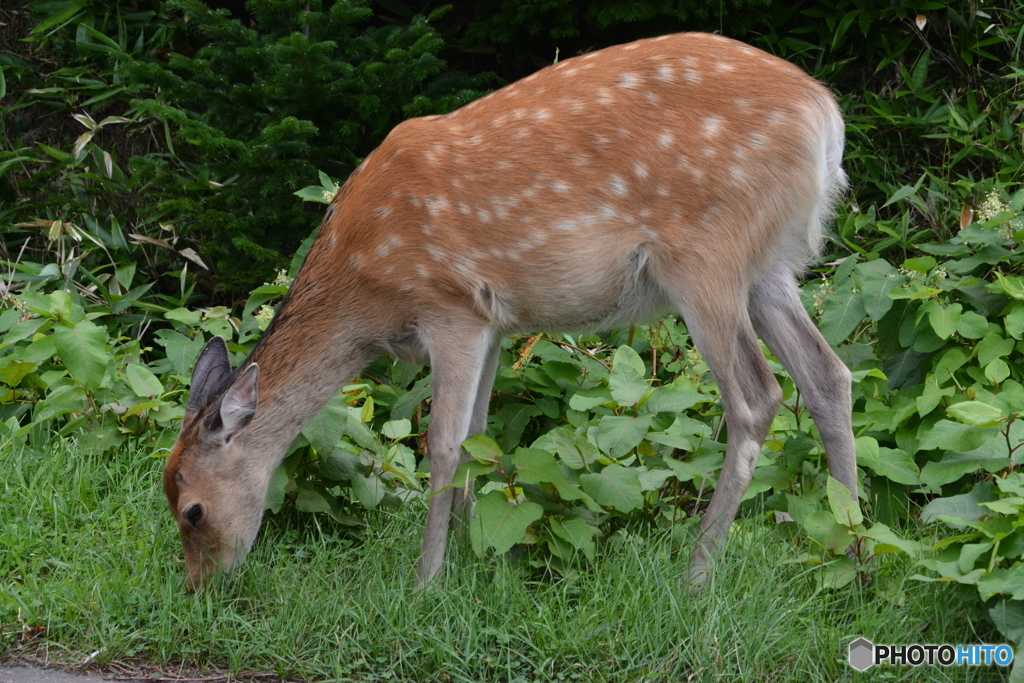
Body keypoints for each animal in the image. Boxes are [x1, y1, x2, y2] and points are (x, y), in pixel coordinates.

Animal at [165, 31, 856, 589]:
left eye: (192, 510)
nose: (200, 588)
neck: (364, 289)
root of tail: (824, 113)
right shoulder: (498, 324)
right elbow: (478, 436)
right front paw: (477, 555)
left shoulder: (452, 307)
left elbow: (442, 445)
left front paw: (427, 580)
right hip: (770, 267)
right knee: (830, 376)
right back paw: (848, 547)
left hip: (708, 256)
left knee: (757, 397)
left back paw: (698, 572)